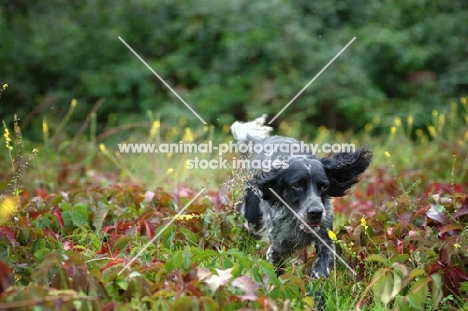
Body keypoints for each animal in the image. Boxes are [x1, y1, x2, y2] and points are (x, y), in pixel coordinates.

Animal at [231, 116, 372, 298]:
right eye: (297, 185)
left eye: (324, 186)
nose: (316, 212)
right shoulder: (277, 248)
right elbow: (275, 274)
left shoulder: (325, 241)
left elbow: (319, 273)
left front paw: (317, 297)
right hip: (252, 218)